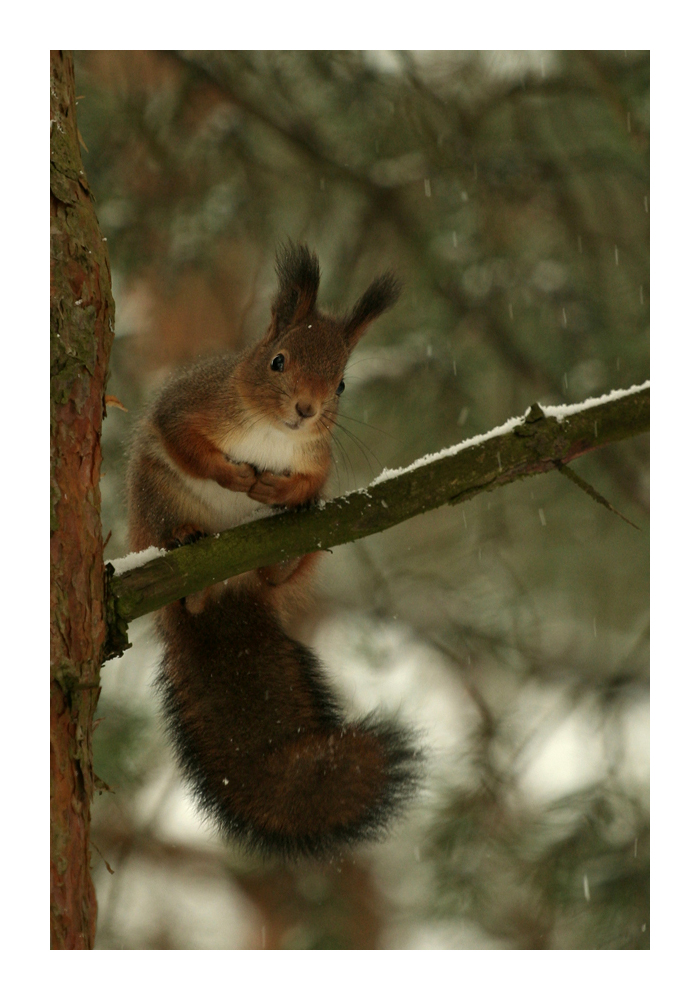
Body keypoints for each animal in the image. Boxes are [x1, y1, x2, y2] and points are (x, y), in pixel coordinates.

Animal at [126, 244, 422, 860]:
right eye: (278, 362)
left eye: (341, 385)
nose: (307, 410)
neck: (272, 433)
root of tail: (225, 590)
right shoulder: (189, 404)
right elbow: (183, 440)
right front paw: (230, 473)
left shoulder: (319, 460)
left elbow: (309, 484)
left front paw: (277, 491)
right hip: (154, 501)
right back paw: (187, 554)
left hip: (304, 550)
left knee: (276, 577)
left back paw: (272, 564)